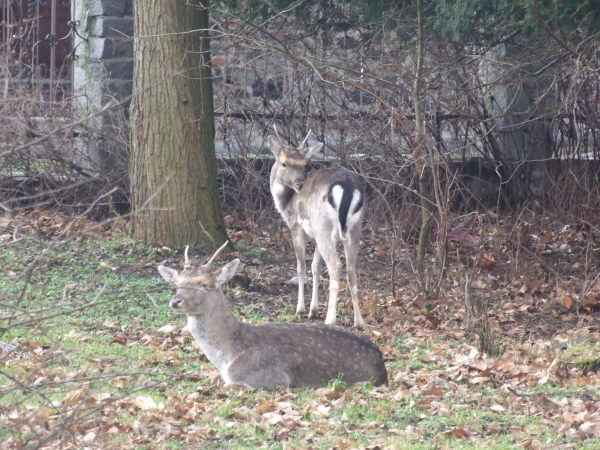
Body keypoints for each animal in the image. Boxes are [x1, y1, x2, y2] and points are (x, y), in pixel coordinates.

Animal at [157, 243, 386, 390]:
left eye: (204, 284)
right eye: (178, 284)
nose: (176, 301)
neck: (229, 355)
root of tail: (382, 364)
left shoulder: (272, 378)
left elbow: (227, 385)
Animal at [268, 128, 366, 328]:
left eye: (304, 164)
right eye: (284, 163)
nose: (299, 183)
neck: (286, 204)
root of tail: (347, 187)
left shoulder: (296, 228)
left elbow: (301, 267)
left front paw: (300, 309)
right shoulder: (315, 236)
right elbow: (316, 267)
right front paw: (313, 310)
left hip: (323, 227)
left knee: (336, 265)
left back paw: (330, 319)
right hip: (354, 228)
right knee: (351, 268)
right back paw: (359, 321)